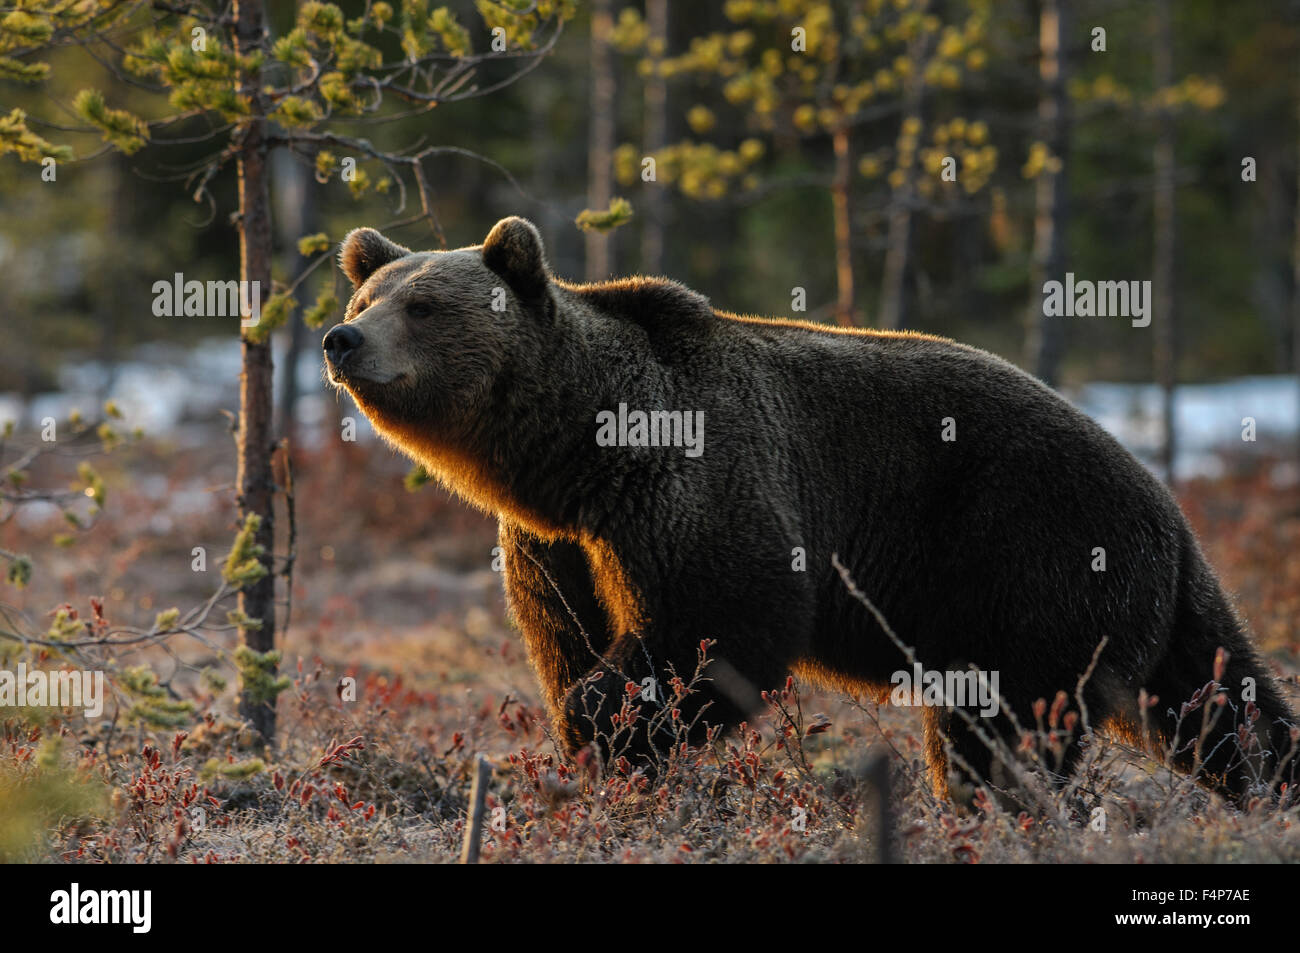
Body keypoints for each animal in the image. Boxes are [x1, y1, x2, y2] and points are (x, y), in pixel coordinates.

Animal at [327, 213, 1300, 800]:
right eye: (366, 295)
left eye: (422, 304)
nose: (342, 338)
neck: (572, 449)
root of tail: (1168, 502)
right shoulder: (554, 538)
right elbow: (564, 630)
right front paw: (593, 733)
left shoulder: (697, 479)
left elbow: (720, 616)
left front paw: (608, 727)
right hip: (1136, 600)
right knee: (1219, 700)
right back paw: (1266, 784)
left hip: (1036, 555)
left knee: (1004, 721)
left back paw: (989, 804)